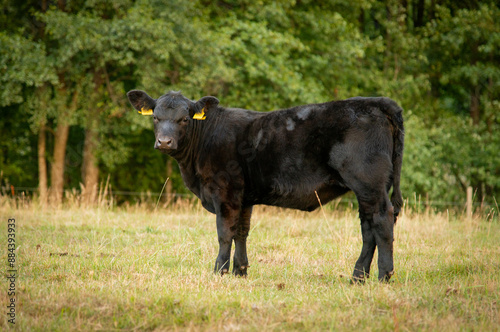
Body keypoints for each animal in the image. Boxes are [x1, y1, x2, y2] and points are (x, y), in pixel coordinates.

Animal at [127, 89, 404, 282]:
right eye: (156, 117)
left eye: (184, 119)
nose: (164, 141)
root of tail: (377, 102)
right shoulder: (243, 196)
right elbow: (241, 232)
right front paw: (240, 271)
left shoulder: (225, 192)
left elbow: (224, 232)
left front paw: (219, 271)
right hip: (365, 188)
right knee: (368, 227)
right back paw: (358, 277)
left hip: (368, 181)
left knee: (382, 220)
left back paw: (384, 276)